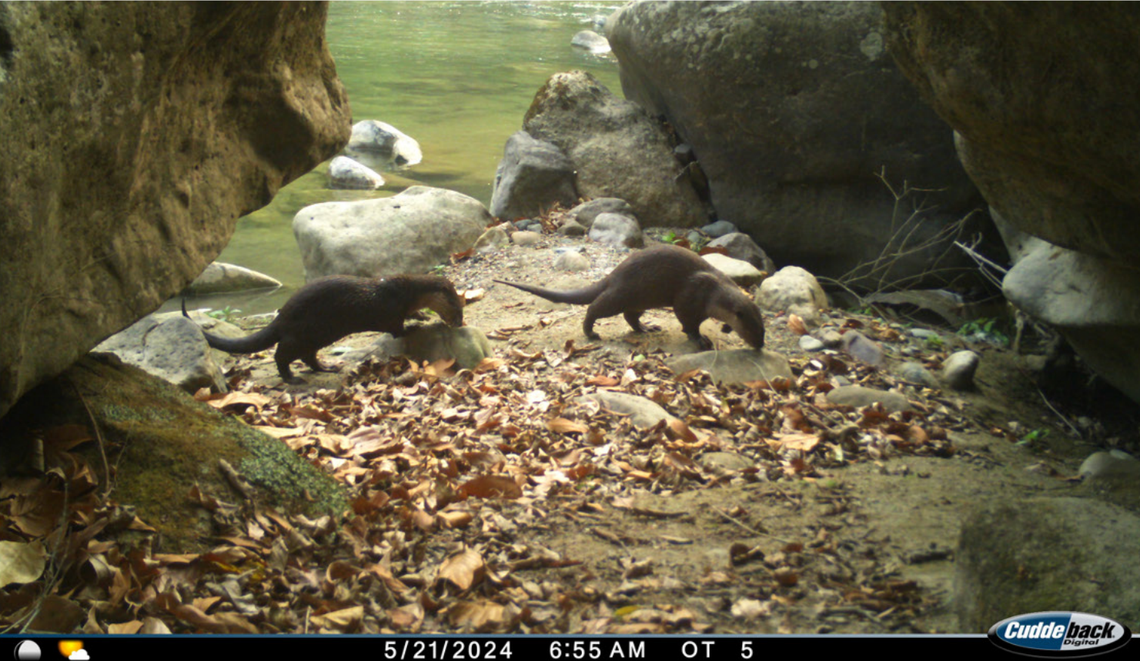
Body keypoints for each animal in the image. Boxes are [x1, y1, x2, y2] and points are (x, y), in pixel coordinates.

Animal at [183, 274, 464, 382]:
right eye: (457, 307)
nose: (460, 322)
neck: (403, 292)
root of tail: (282, 316)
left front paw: (420, 314)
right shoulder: (391, 312)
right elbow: (397, 329)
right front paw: (415, 325)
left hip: (315, 338)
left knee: (308, 357)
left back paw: (328, 367)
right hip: (300, 334)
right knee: (281, 355)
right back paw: (291, 377)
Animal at [494, 244, 765, 349]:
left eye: (763, 330)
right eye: (752, 330)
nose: (761, 345)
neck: (714, 291)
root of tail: (614, 274)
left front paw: (725, 328)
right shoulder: (689, 296)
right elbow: (688, 322)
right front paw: (699, 339)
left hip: (640, 299)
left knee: (630, 316)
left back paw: (646, 328)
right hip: (623, 293)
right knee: (595, 308)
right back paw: (591, 333)